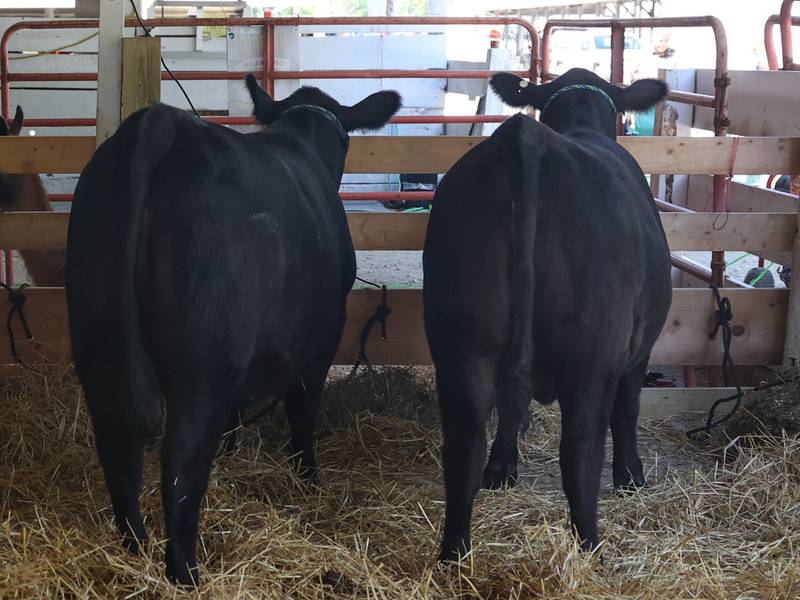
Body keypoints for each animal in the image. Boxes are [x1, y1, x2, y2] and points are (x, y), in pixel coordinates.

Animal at [65, 72, 400, 584]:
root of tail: (160, 124)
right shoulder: (321, 338)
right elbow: (303, 409)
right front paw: (307, 476)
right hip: (205, 359)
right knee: (181, 459)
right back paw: (184, 572)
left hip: (98, 337)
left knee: (118, 440)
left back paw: (134, 548)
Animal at [424, 68, 676, 560]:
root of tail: (529, 139)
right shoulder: (638, 352)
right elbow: (628, 410)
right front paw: (631, 476)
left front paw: (502, 468)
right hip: (590, 358)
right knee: (580, 453)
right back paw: (591, 549)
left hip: (459, 347)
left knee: (463, 448)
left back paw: (453, 555)